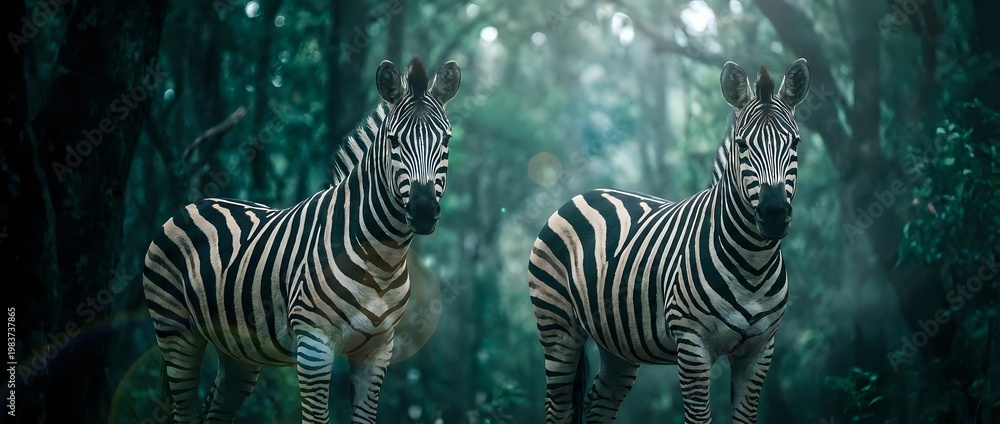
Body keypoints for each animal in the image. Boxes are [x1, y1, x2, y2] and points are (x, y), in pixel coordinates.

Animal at [143, 57, 461, 423]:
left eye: (446, 140)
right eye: (394, 141)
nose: (423, 212)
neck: (382, 260)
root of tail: (196, 203)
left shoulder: (377, 351)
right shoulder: (314, 345)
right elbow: (316, 418)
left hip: (237, 351)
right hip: (175, 331)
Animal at [527, 58, 810, 423]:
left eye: (796, 144)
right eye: (742, 145)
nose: (774, 214)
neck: (753, 264)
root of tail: (584, 194)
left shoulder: (760, 350)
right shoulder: (692, 347)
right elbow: (698, 418)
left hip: (616, 341)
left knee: (598, 403)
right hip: (557, 327)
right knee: (558, 407)